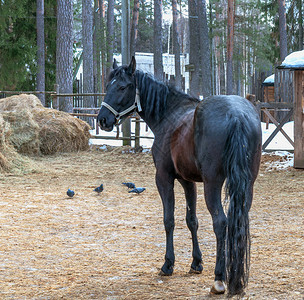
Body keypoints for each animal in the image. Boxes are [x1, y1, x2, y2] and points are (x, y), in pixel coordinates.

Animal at [97, 57, 262, 296]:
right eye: (108, 85)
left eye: (122, 87)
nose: (102, 119)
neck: (169, 114)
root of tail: (237, 115)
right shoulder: (188, 181)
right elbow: (191, 220)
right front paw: (196, 263)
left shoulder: (164, 178)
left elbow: (169, 220)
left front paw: (168, 264)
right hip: (247, 185)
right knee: (238, 222)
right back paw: (237, 279)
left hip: (212, 184)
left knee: (221, 223)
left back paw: (219, 279)